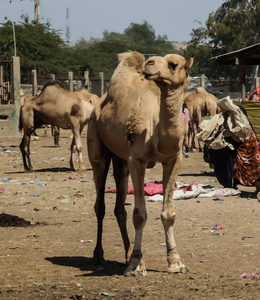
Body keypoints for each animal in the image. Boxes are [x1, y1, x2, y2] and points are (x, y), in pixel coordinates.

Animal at [87, 50, 193, 276]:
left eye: (173, 64)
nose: (150, 62)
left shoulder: (173, 160)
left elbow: (168, 213)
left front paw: (176, 263)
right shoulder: (137, 160)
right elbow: (139, 215)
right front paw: (136, 265)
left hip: (121, 161)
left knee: (120, 207)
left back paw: (127, 254)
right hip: (96, 142)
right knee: (100, 203)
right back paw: (99, 255)